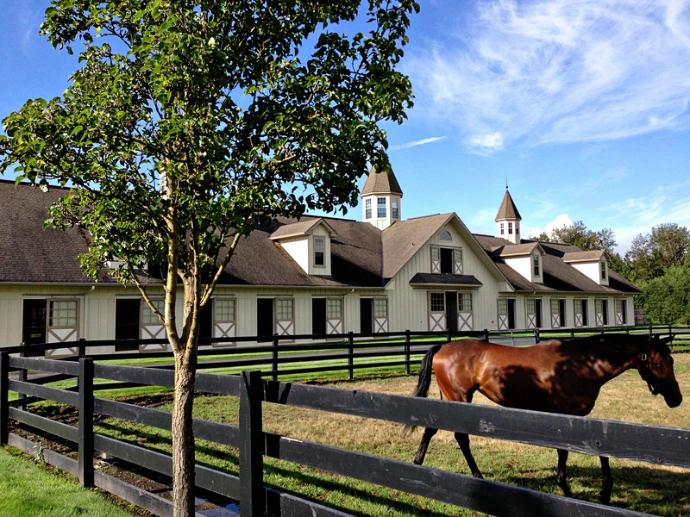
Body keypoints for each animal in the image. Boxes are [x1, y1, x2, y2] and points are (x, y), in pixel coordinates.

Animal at [404, 333, 682, 504]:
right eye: (657, 363)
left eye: (671, 359)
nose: (676, 398)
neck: (579, 364)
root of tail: (443, 346)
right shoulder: (565, 415)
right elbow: (565, 452)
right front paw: (573, 490)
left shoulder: (576, 418)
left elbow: (599, 450)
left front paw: (603, 491)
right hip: (459, 399)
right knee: (460, 437)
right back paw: (476, 475)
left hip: (449, 399)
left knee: (431, 429)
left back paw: (418, 464)